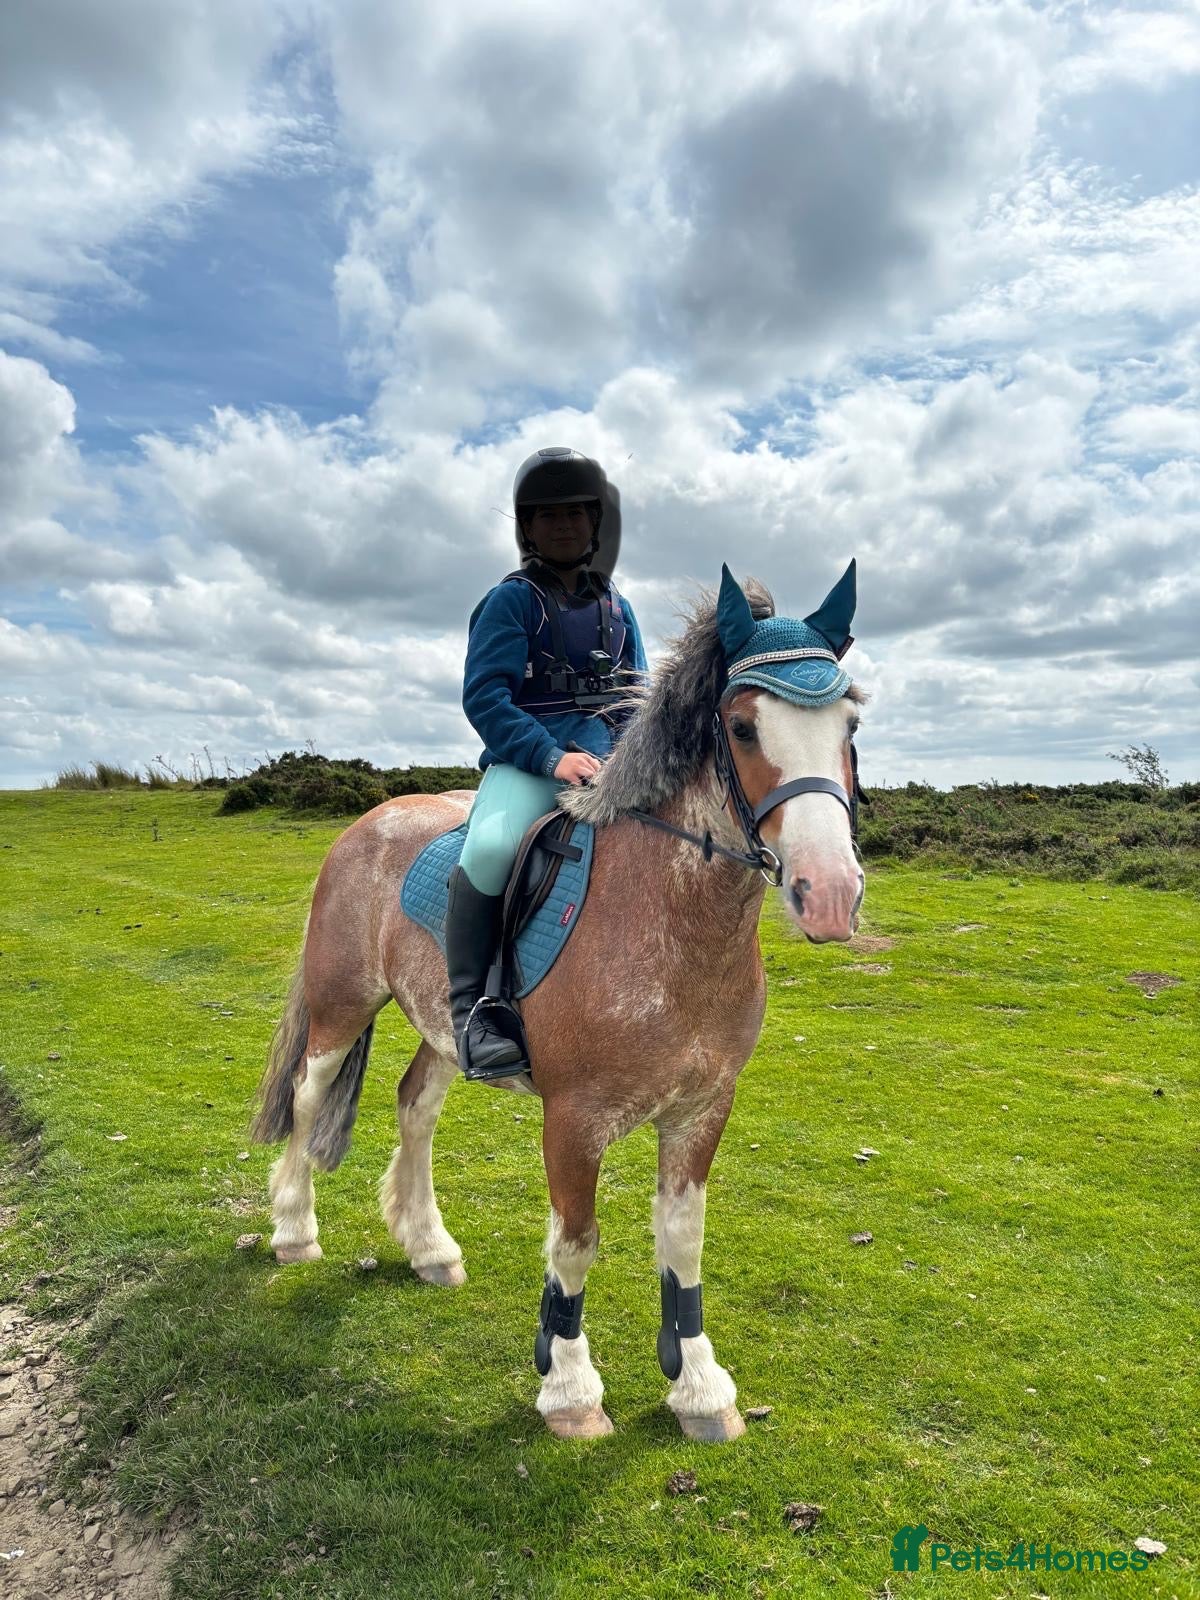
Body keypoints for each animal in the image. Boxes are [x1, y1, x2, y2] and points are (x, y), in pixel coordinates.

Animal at [250, 564, 866, 1443]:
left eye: (850, 722)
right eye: (744, 727)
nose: (830, 894)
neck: (669, 921)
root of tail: (370, 819)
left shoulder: (703, 1110)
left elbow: (683, 1241)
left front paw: (698, 1387)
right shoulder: (573, 1120)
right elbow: (575, 1244)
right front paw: (570, 1388)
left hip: (443, 1030)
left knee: (415, 1105)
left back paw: (428, 1245)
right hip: (342, 1007)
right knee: (307, 1097)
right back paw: (294, 1229)